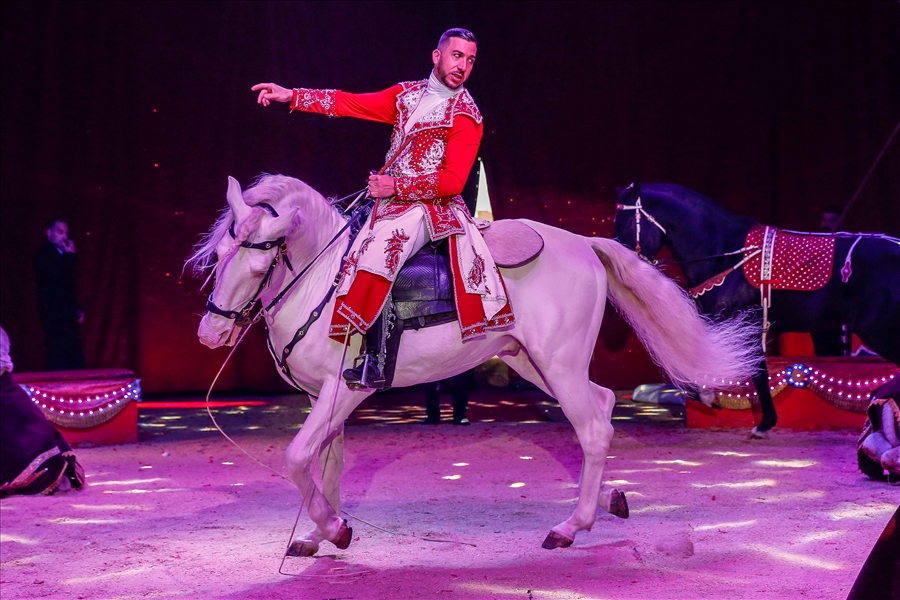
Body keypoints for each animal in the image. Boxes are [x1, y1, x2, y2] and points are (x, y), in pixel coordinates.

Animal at [190, 174, 760, 555]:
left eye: (261, 264)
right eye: (220, 255)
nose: (211, 334)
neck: (324, 280)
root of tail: (584, 244)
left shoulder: (347, 388)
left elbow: (295, 456)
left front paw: (333, 529)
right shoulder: (321, 397)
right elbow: (325, 460)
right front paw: (318, 533)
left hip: (557, 363)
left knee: (594, 427)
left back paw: (570, 527)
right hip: (532, 362)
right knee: (599, 405)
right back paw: (608, 501)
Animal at [614, 183, 900, 437]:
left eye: (626, 222)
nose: (618, 257)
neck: (726, 252)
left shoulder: (741, 324)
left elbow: (755, 371)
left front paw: (761, 422)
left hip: (879, 330)